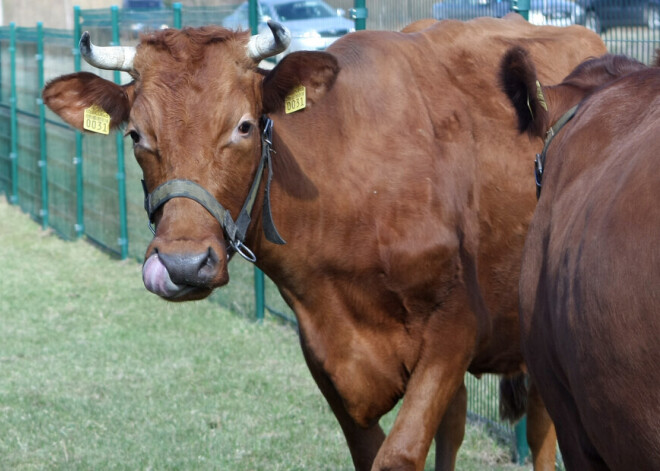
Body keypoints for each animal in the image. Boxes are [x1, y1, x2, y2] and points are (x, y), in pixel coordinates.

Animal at [42, 14, 604, 471]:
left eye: (244, 126)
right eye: (136, 135)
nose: (182, 264)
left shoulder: (456, 327)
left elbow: (400, 454)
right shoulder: (325, 354)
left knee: (541, 433)